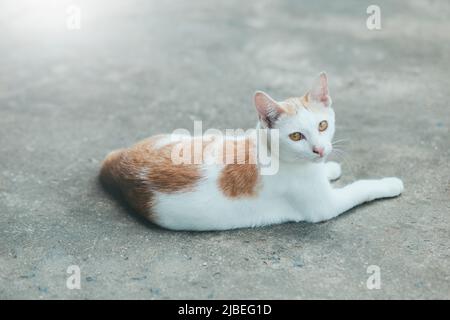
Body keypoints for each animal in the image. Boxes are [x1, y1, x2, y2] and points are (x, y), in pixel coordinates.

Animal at [101, 72, 404, 230]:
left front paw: (329, 167)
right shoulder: (324, 207)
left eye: (323, 125)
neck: (274, 152)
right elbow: (362, 188)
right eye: (296, 136)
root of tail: (119, 163)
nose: (319, 150)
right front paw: (390, 184)